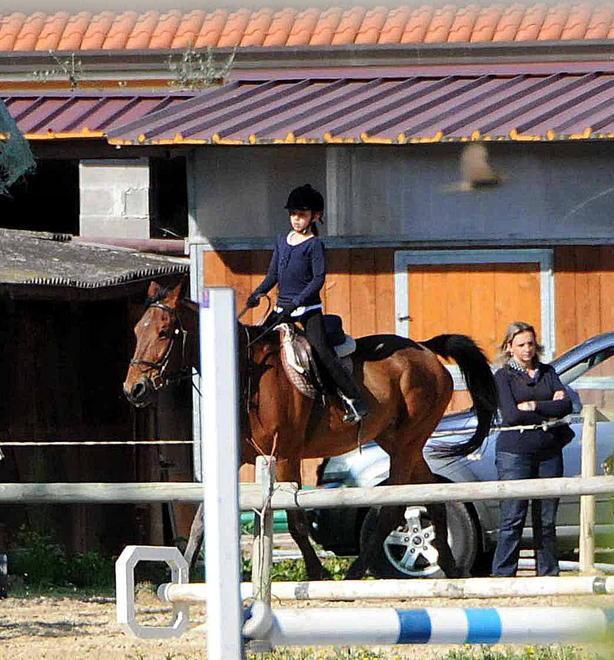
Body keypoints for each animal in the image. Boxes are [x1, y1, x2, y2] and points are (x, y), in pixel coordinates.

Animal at [123, 277, 498, 580]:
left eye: (164, 332)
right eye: (137, 331)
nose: (134, 390)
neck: (247, 373)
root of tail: (425, 350)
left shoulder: (285, 455)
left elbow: (296, 520)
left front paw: (317, 573)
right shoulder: (242, 457)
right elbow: (201, 518)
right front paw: (182, 572)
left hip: (406, 442)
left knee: (393, 505)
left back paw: (356, 571)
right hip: (400, 442)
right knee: (433, 496)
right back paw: (450, 567)